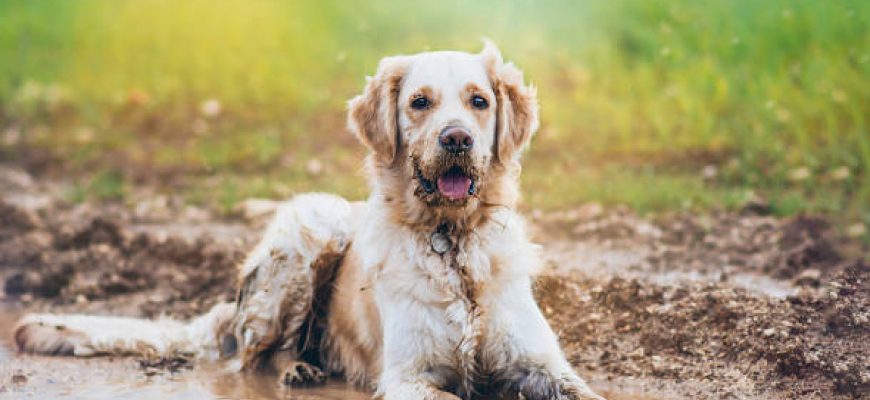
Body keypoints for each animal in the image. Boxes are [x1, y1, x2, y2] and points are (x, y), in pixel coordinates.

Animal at [13, 42, 604, 398]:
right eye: (420, 102)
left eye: (479, 102)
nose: (456, 138)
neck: (452, 242)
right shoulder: (408, 376)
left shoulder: (545, 366)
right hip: (311, 231)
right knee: (251, 358)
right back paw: (296, 368)